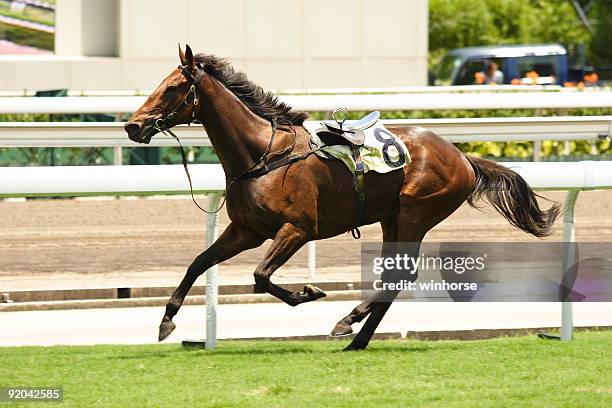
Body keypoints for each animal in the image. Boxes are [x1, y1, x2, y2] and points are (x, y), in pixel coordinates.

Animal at [124, 45, 560, 350]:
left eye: (173, 88)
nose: (132, 126)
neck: (263, 154)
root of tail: (463, 157)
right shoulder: (246, 230)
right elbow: (199, 262)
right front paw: (166, 321)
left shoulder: (297, 229)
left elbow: (261, 276)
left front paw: (308, 292)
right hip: (390, 217)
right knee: (392, 276)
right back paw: (357, 337)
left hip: (415, 214)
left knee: (400, 275)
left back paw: (349, 322)